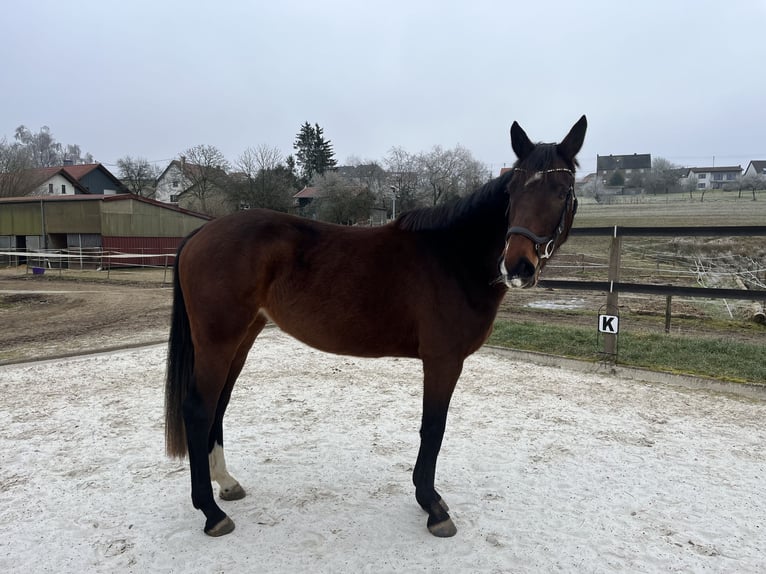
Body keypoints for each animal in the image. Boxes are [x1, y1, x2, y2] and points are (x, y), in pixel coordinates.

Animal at [166, 117, 588, 540]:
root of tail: (199, 234)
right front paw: (432, 506)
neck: (452, 256)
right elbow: (433, 428)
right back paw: (211, 512)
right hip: (218, 341)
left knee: (218, 405)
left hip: (241, 338)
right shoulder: (443, 360)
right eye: (513, 191)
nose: (517, 266)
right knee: (199, 409)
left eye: (562, 192)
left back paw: (227, 483)